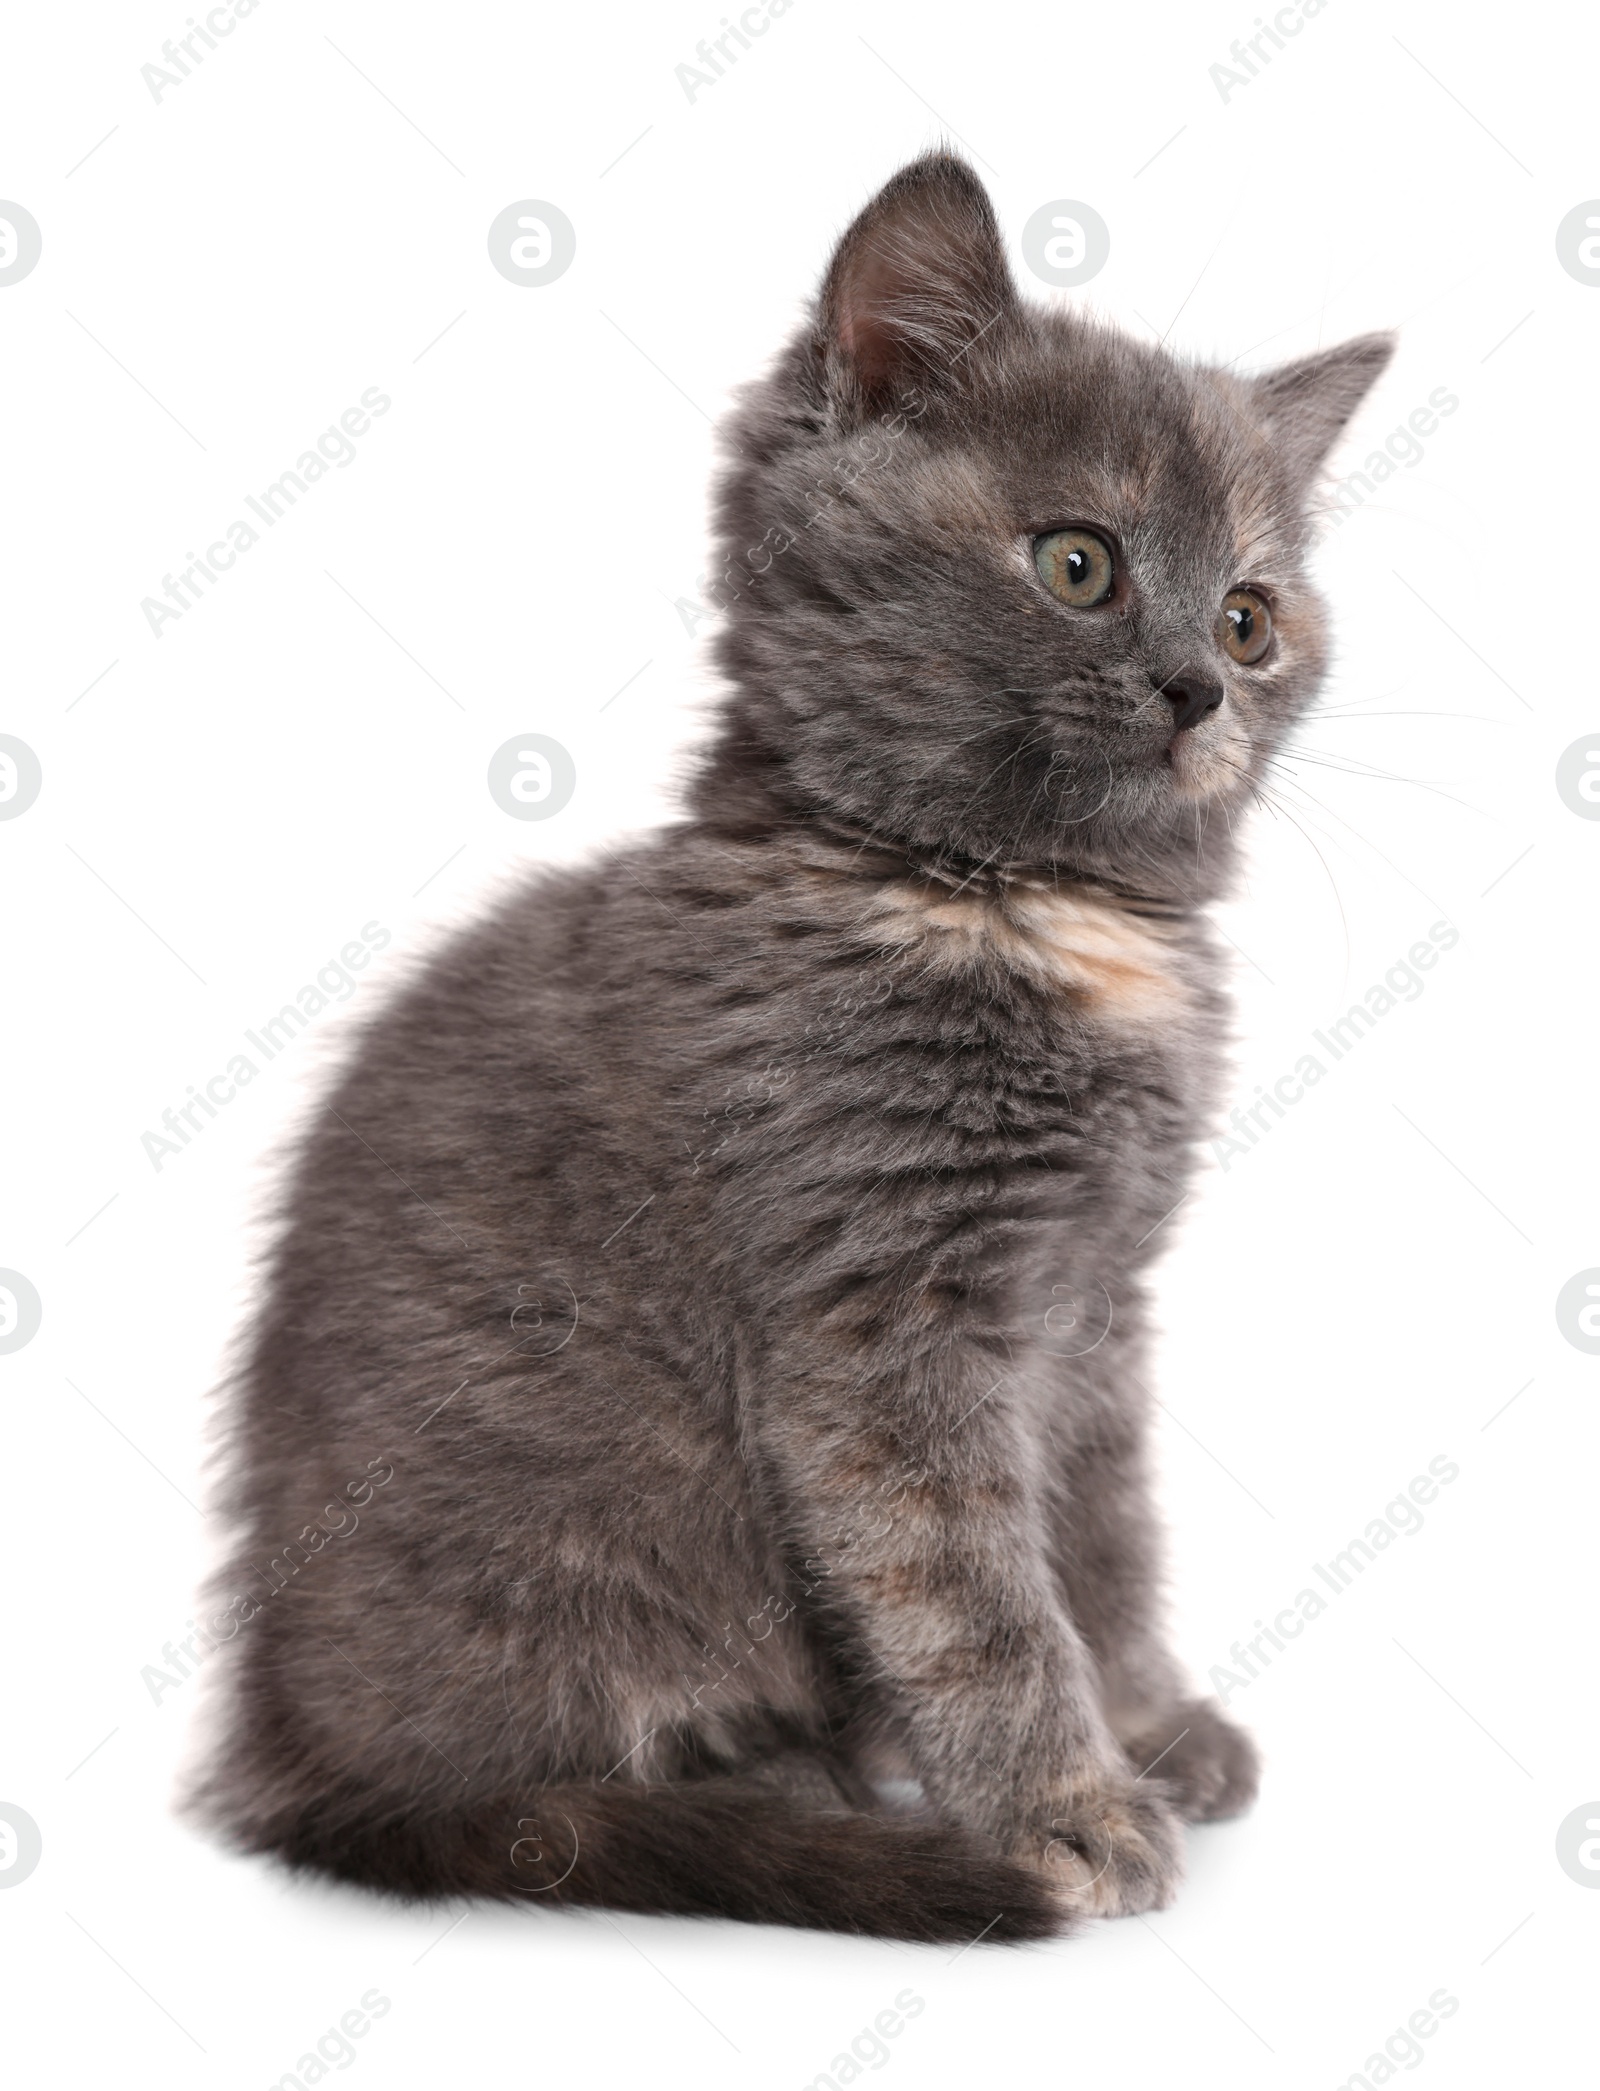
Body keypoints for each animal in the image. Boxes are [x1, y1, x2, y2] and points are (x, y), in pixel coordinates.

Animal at [196, 151, 1388, 1940]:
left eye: (1253, 618)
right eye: (1079, 564)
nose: (1196, 684)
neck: (1015, 904)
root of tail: (291, 1756)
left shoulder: (1096, 1301)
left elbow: (1101, 1524)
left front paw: (1150, 1717)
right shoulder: (880, 1306)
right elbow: (968, 1582)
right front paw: (1067, 1803)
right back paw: (805, 1799)